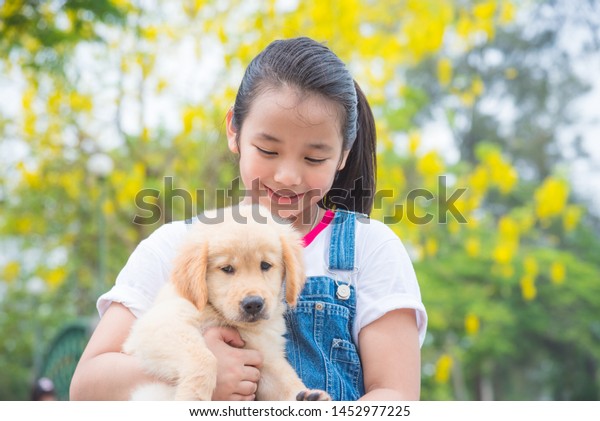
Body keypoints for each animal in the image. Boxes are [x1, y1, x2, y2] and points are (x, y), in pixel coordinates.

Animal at [123, 203, 330, 400]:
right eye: (227, 268)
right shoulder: (159, 325)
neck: (221, 315)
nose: (253, 304)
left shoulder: (266, 355)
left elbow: (287, 381)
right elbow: (204, 358)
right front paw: (192, 398)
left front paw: (309, 397)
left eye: (265, 265)